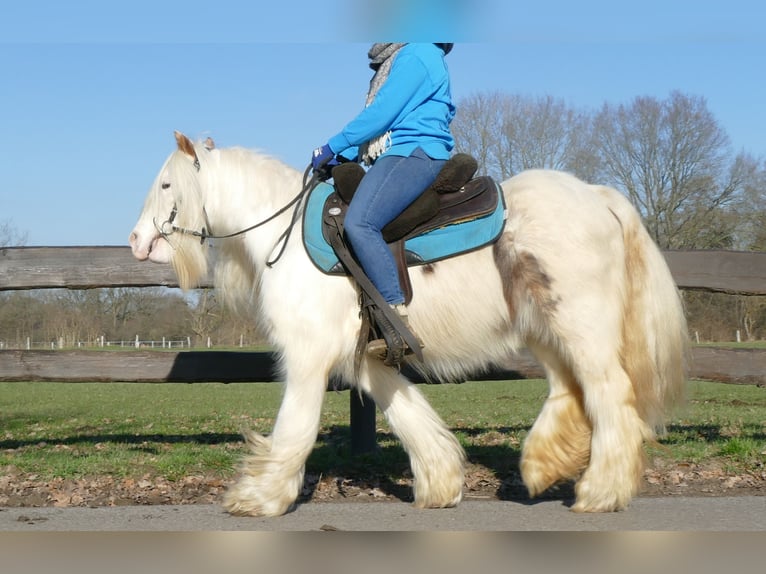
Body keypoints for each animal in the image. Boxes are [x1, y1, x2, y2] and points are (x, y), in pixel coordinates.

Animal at [130, 132, 688, 516]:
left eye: (166, 184)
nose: (137, 241)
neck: (284, 235)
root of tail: (599, 195)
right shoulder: (363, 357)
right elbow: (408, 414)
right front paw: (440, 483)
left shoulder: (308, 357)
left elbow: (295, 429)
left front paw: (260, 498)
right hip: (545, 329)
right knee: (569, 390)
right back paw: (541, 465)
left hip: (581, 328)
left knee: (609, 396)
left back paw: (601, 491)